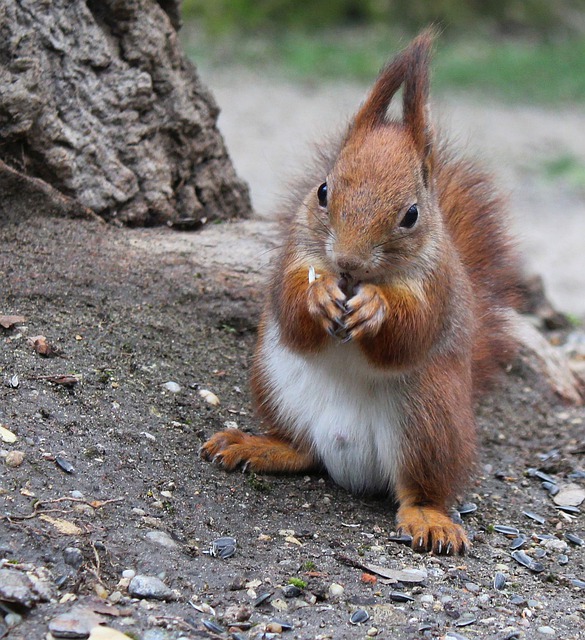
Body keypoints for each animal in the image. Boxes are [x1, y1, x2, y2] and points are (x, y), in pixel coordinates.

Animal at [201, 30, 520, 552]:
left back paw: (430, 517)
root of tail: (351, 462)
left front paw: (376, 308)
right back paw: (260, 446)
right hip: (274, 383)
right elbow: (289, 308)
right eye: (322, 191)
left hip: (430, 418)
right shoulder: (292, 256)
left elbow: (411, 333)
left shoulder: (438, 286)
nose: (348, 265)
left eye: (411, 214)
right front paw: (318, 297)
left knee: (421, 487)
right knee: (304, 451)